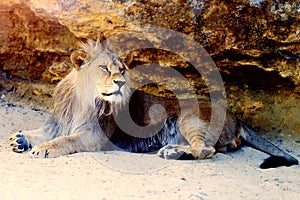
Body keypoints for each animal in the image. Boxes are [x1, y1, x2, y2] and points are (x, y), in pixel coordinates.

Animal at [7, 39, 298, 168]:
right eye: (104, 68)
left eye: (122, 70)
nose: (120, 82)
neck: (83, 100)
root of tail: (237, 118)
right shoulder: (56, 124)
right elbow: (39, 132)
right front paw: (20, 138)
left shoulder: (94, 136)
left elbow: (64, 141)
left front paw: (44, 149)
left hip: (188, 117)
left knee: (206, 149)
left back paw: (174, 153)